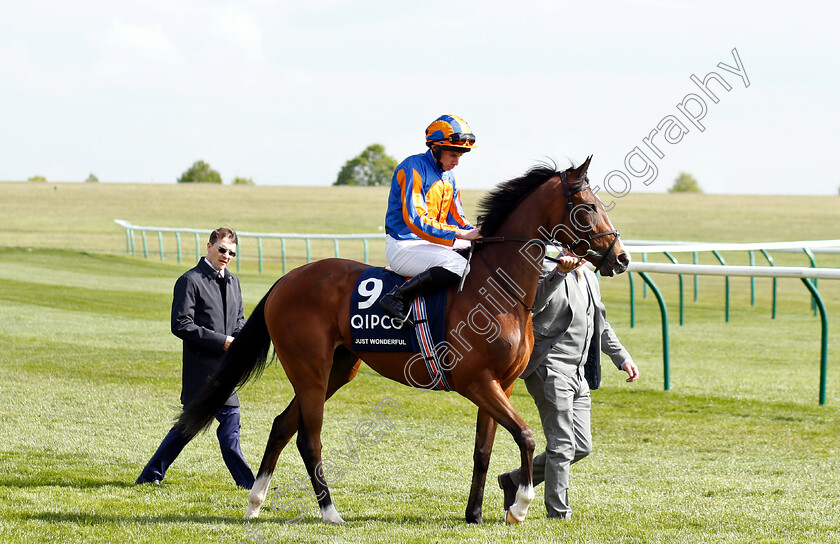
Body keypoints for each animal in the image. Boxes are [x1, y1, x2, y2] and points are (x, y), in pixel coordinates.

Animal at [177, 155, 628, 524]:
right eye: (588, 208)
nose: (621, 258)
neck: (499, 288)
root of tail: (288, 279)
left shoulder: (502, 383)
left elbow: (484, 450)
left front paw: (475, 514)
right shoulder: (476, 381)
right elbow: (527, 435)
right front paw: (518, 507)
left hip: (339, 369)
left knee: (283, 425)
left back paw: (255, 503)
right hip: (310, 369)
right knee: (309, 436)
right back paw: (329, 511)